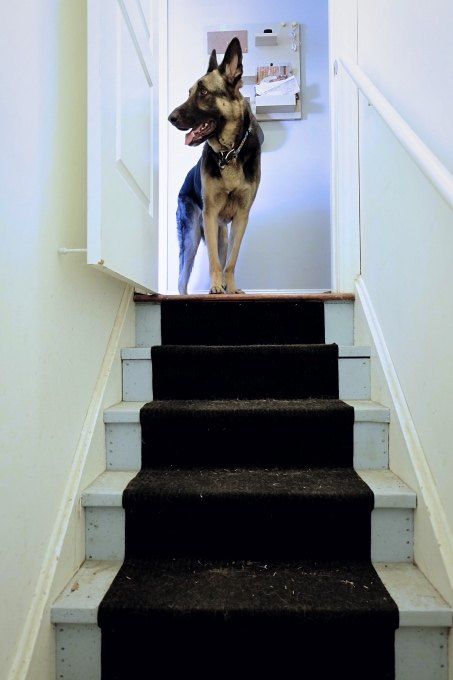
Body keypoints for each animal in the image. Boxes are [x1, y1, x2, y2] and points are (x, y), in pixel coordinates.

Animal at [168, 37, 264, 292]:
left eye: (203, 92)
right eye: (189, 92)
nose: (170, 118)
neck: (228, 153)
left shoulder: (241, 218)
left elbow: (229, 262)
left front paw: (230, 288)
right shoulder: (209, 215)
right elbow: (214, 261)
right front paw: (216, 288)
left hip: (220, 233)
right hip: (191, 236)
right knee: (182, 278)